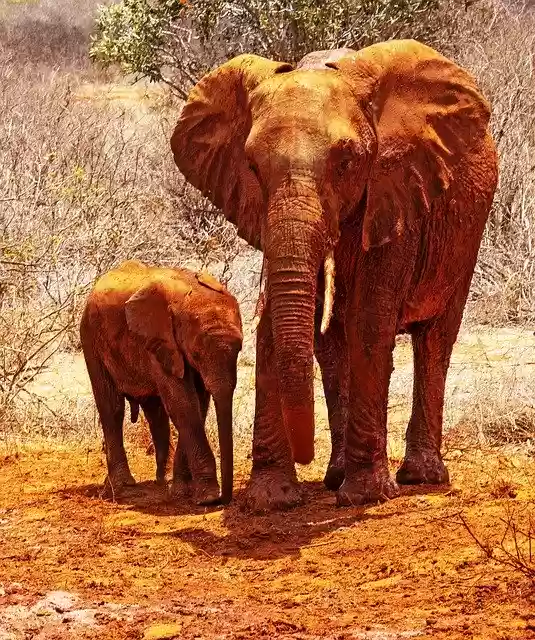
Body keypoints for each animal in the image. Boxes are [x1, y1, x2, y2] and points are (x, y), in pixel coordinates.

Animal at [80, 260, 243, 505]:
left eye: (240, 349)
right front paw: (207, 497)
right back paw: (123, 487)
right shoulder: (160, 339)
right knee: (112, 408)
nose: (225, 499)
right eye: (196, 353)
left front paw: (182, 491)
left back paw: (162, 481)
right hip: (91, 337)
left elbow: (197, 405)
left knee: (155, 413)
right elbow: (183, 404)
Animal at [170, 39, 498, 511]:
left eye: (346, 163)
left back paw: (419, 477)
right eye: (252, 167)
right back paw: (336, 476)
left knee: (435, 340)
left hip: (466, 234)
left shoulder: (396, 192)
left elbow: (369, 320)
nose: (304, 454)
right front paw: (272, 500)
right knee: (331, 347)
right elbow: (275, 325)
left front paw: (364, 497)